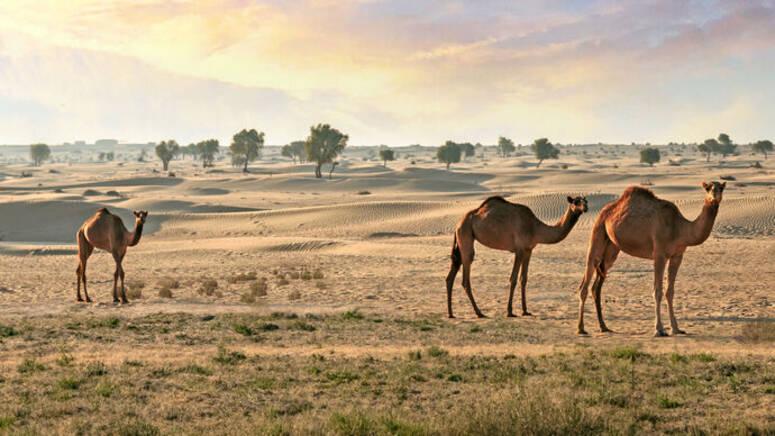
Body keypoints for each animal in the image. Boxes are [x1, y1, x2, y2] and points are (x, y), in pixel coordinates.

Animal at [446, 196, 592, 318]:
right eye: (576, 202)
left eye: (585, 200)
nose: (585, 208)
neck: (535, 228)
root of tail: (458, 224)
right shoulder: (519, 250)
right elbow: (514, 279)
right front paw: (510, 311)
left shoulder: (528, 250)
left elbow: (524, 279)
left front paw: (525, 310)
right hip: (466, 236)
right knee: (466, 277)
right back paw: (479, 313)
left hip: (461, 241)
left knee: (450, 276)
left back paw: (451, 313)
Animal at [580, 181, 724, 338]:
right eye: (708, 188)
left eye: (721, 188)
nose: (715, 196)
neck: (680, 229)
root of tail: (604, 211)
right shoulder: (659, 254)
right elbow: (658, 291)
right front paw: (659, 329)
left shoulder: (677, 256)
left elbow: (670, 291)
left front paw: (676, 328)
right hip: (598, 231)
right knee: (586, 280)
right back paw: (581, 328)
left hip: (611, 249)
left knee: (596, 286)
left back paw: (604, 327)